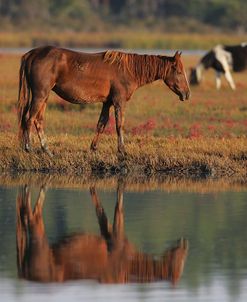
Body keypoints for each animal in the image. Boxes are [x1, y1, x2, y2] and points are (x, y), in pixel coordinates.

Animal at [16, 183, 188, 284]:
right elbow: (118, 209)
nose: (184, 244)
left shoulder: (107, 232)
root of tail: (24, 274)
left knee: (24, 216)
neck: (128, 265)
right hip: (40, 239)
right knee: (32, 215)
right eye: (178, 265)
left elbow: (100, 212)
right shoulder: (117, 234)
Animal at [17, 47, 190, 156]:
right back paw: (28, 148)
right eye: (179, 72)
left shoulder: (107, 103)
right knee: (29, 118)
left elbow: (101, 124)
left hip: (44, 97)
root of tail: (31, 54)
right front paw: (122, 151)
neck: (129, 70)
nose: (187, 94)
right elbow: (119, 125)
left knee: (38, 120)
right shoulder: (119, 101)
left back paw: (47, 150)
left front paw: (93, 148)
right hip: (40, 95)